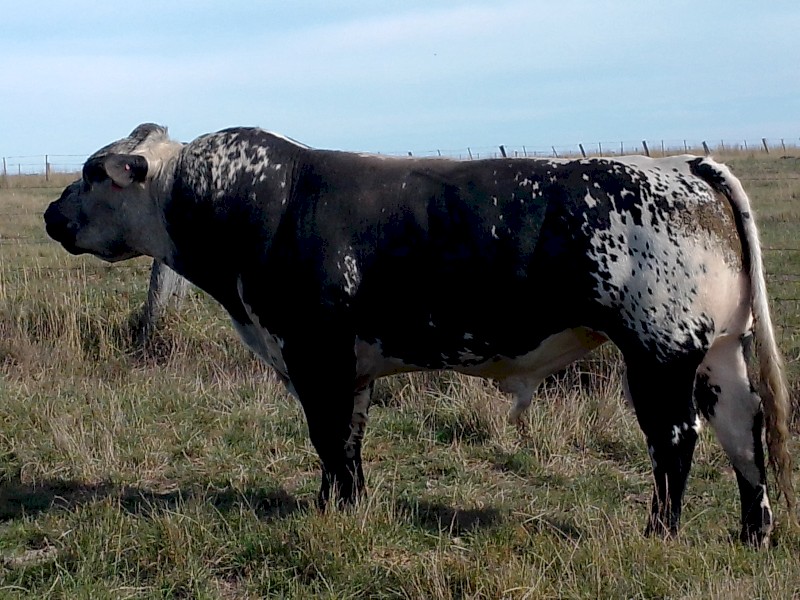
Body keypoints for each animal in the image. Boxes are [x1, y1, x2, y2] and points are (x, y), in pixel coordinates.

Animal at [44, 123, 794, 547]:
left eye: (91, 172)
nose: (52, 214)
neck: (253, 206)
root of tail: (682, 165)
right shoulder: (350, 366)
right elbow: (347, 442)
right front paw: (342, 507)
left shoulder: (315, 354)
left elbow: (327, 437)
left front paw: (332, 514)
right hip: (718, 352)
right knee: (744, 431)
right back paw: (752, 534)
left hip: (659, 351)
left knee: (676, 439)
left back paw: (659, 533)